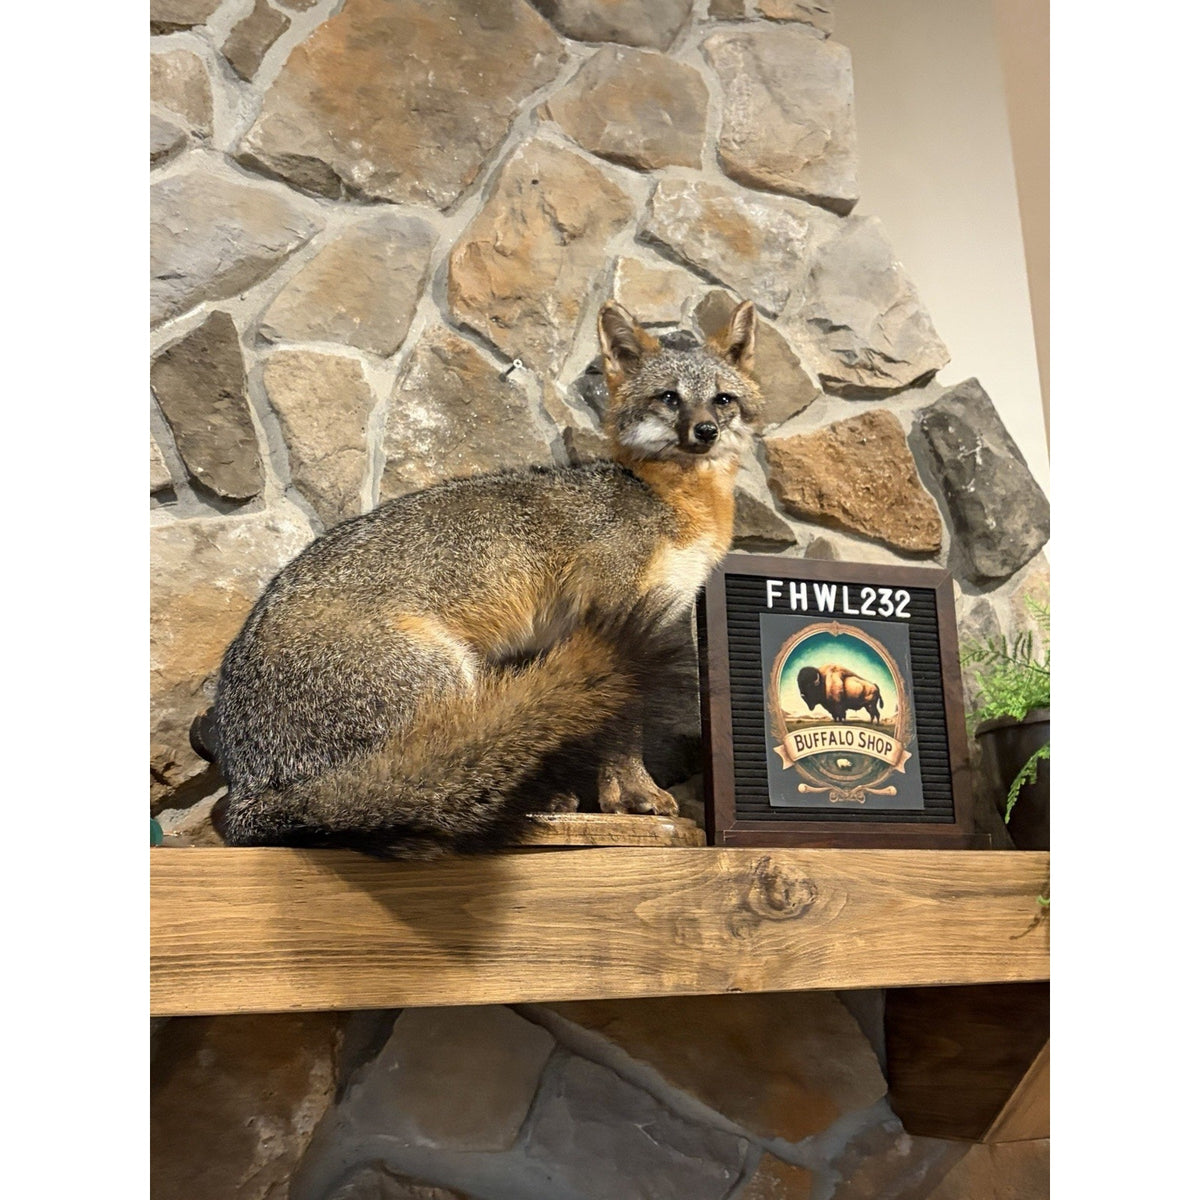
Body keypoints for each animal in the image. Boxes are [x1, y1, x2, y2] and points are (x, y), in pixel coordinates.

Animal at [210, 298, 763, 857]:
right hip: (450, 675)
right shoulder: (615, 619)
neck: (673, 504)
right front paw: (632, 799)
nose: (706, 431)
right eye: (669, 398)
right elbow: (621, 727)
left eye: (723, 400)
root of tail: (248, 788)